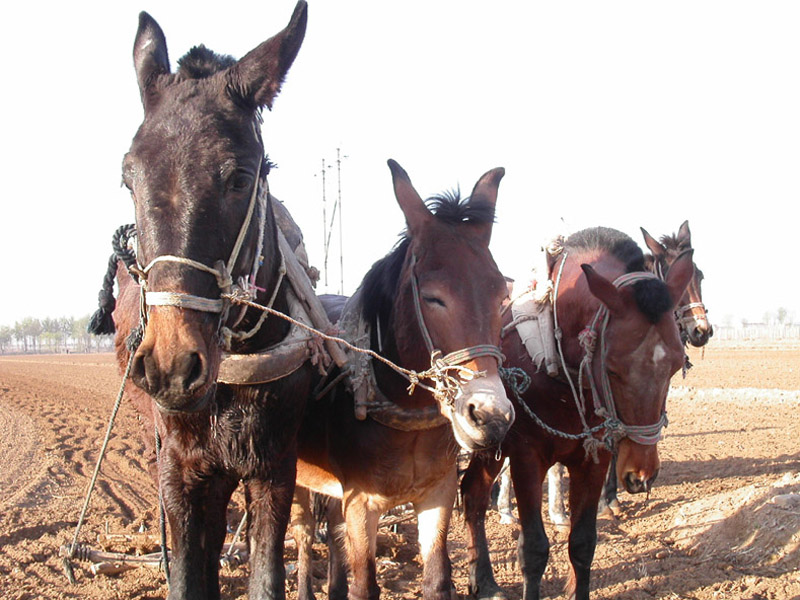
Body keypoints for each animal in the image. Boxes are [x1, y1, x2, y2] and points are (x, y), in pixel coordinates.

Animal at [109, 4, 312, 598]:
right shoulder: (180, 469)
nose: (173, 366)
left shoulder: (274, 465)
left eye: (240, 177)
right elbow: (187, 575)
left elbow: (265, 575)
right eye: (128, 178)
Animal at [292, 161, 516, 600]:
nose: (490, 417)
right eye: (432, 297)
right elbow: (366, 584)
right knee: (302, 532)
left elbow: (437, 579)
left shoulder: (438, 494)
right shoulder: (362, 503)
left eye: (502, 298)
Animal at [460, 226, 694, 600]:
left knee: (473, 495)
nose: (641, 474)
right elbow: (534, 550)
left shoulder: (593, 458)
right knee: (472, 496)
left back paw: (484, 581)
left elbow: (583, 544)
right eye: (611, 369)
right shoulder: (526, 457)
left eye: (673, 366)